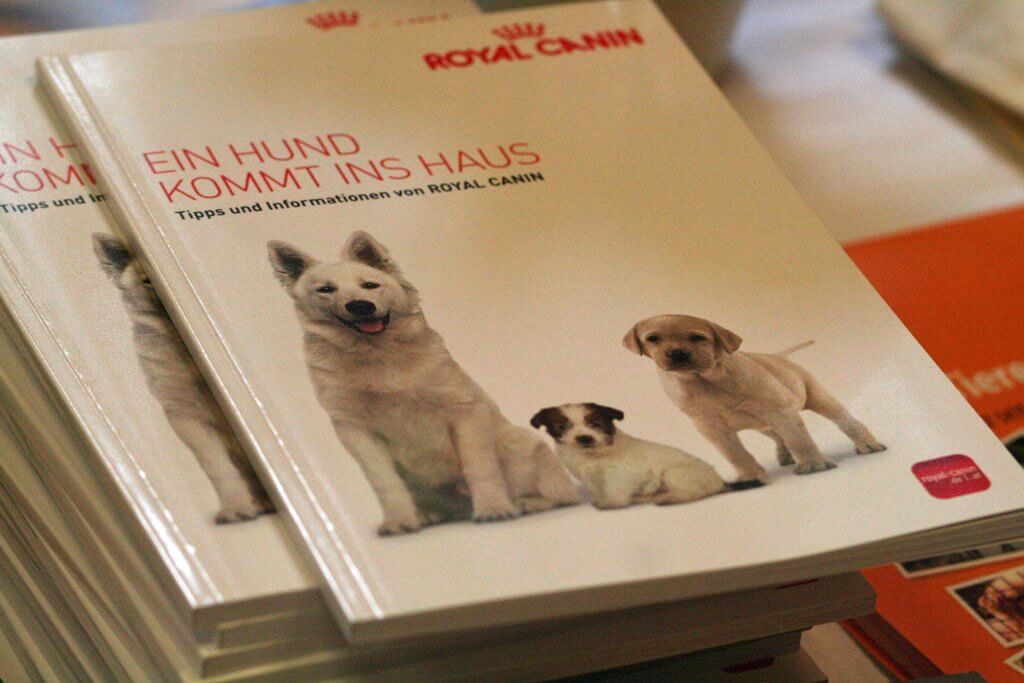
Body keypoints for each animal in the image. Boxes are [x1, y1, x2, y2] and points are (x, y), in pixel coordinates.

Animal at [267, 231, 580, 535]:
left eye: (370, 285)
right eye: (325, 289)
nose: (361, 306)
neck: (377, 355)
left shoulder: (465, 412)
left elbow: (480, 466)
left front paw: (492, 508)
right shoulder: (353, 429)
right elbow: (384, 480)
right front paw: (399, 520)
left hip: (520, 443)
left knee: (563, 495)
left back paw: (528, 502)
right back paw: (429, 515)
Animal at [531, 403, 733, 509]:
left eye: (596, 424)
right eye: (561, 426)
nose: (584, 438)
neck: (593, 453)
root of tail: (720, 482)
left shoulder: (617, 475)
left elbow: (615, 491)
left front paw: (612, 504)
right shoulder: (591, 477)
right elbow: (599, 489)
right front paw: (601, 500)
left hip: (674, 474)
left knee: (692, 493)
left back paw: (668, 498)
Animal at [623, 315, 885, 484]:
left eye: (698, 337)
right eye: (653, 338)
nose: (677, 354)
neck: (704, 380)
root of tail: (779, 356)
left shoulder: (781, 412)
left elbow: (798, 439)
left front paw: (812, 465)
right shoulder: (711, 428)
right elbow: (734, 453)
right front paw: (750, 476)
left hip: (816, 397)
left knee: (844, 420)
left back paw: (867, 444)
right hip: (762, 425)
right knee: (777, 436)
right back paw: (784, 455)